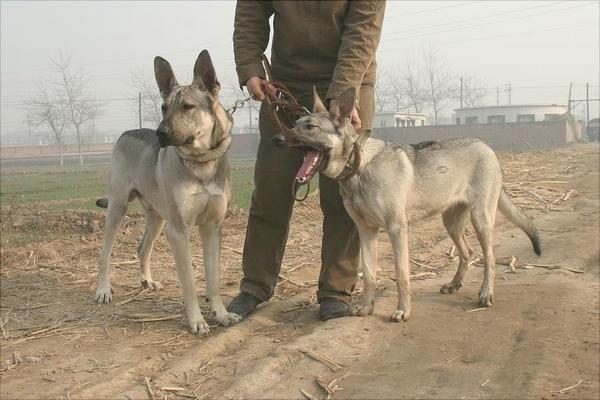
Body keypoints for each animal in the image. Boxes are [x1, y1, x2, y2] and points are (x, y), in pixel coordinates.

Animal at [95, 51, 240, 336]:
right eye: (164, 107)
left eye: (187, 107)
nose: (160, 133)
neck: (201, 163)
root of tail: (125, 133)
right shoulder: (179, 231)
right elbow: (190, 283)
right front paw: (197, 321)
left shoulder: (212, 227)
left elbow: (213, 279)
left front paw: (221, 314)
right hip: (118, 208)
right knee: (105, 253)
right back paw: (104, 290)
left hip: (158, 217)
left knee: (142, 248)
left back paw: (147, 281)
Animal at [274, 87, 540, 322]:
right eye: (295, 123)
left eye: (310, 127)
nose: (276, 138)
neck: (359, 168)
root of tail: (487, 147)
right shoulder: (365, 231)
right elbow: (368, 275)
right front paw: (366, 306)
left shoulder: (396, 229)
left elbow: (402, 275)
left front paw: (403, 311)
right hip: (451, 222)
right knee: (467, 252)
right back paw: (454, 284)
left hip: (481, 219)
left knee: (489, 258)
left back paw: (486, 293)